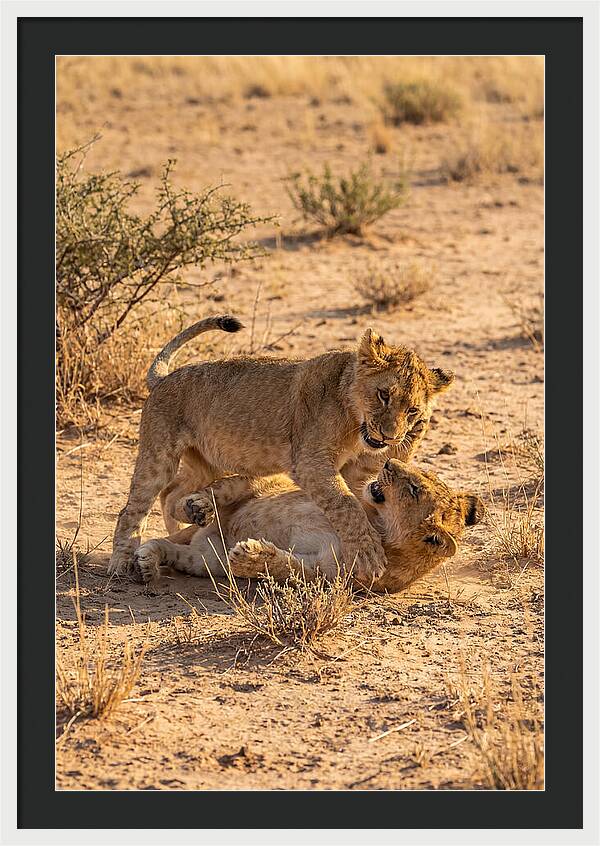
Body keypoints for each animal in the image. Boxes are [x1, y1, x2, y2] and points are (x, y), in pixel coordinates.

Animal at [109, 315, 454, 582]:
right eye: (384, 395)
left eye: (412, 410)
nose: (389, 436)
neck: (354, 421)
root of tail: (164, 378)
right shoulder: (311, 462)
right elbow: (346, 505)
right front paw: (369, 554)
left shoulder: (357, 470)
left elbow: (360, 493)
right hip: (159, 454)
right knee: (133, 508)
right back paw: (122, 563)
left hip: (207, 462)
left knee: (172, 493)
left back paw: (190, 519)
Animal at [134, 459, 484, 594]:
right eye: (420, 475)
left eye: (414, 489)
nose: (387, 462)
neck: (377, 523)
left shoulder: (325, 574)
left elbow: (286, 567)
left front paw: (250, 555)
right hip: (261, 484)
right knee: (225, 488)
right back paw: (197, 506)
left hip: (206, 560)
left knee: (173, 549)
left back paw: (148, 562)